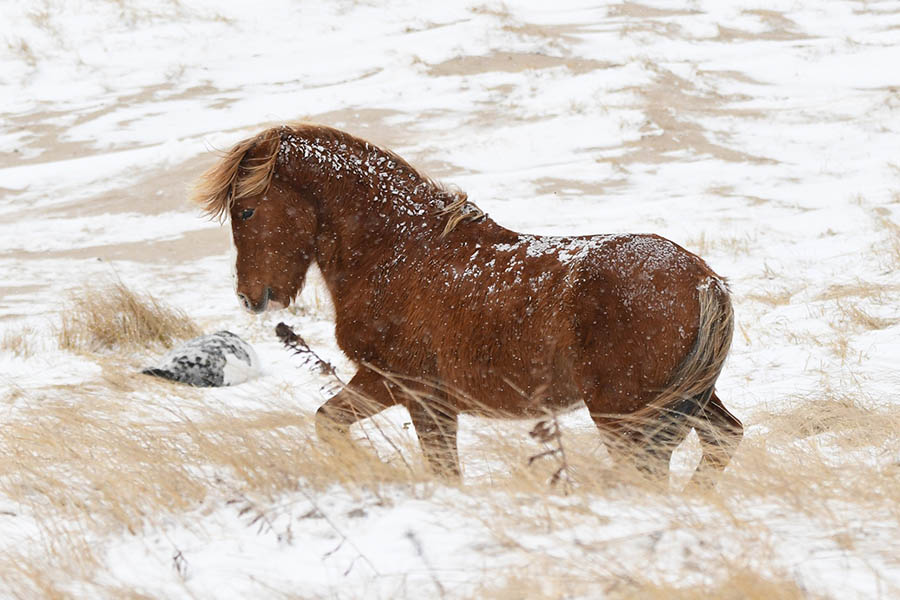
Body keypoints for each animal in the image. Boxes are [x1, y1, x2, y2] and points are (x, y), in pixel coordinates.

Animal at [193, 124, 740, 486]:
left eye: (246, 211)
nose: (251, 296)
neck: (397, 248)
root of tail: (704, 280)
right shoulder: (412, 395)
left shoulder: (406, 388)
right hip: (688, 400)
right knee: (724, 439)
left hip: (625, 413)